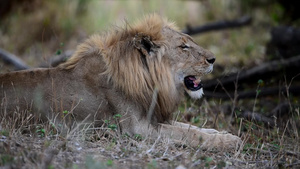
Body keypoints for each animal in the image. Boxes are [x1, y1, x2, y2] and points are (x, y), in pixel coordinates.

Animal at [0, 14, 240, 149]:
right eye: (183, 47)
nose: (213, 59)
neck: (151, 81)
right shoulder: (137, 129)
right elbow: (187, 133)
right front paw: (228, 142)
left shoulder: (152, 117)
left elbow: (191, 126)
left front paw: (223, 134)